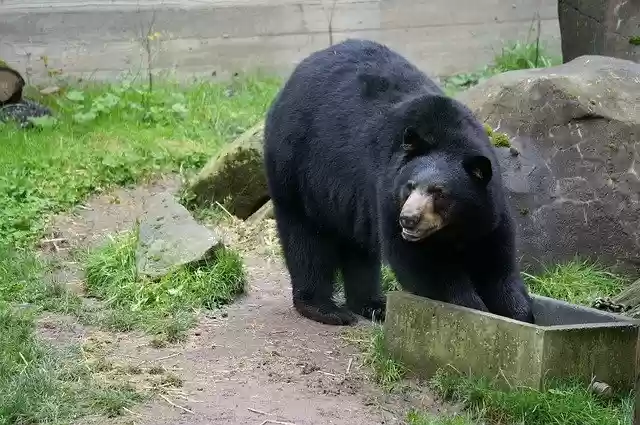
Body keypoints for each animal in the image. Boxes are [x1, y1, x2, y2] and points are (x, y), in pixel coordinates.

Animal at [263, 38, 535, 326]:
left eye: (439, 192)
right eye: (409, 187)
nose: (408, 219)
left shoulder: (489, 207)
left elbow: (496, 262)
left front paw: (520, 315)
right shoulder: (387, 192)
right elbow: (423, 266)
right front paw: (472, 309)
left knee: (358, 248)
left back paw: (373, 305)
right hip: (297, 168)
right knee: (306, 238)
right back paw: (325, 308)